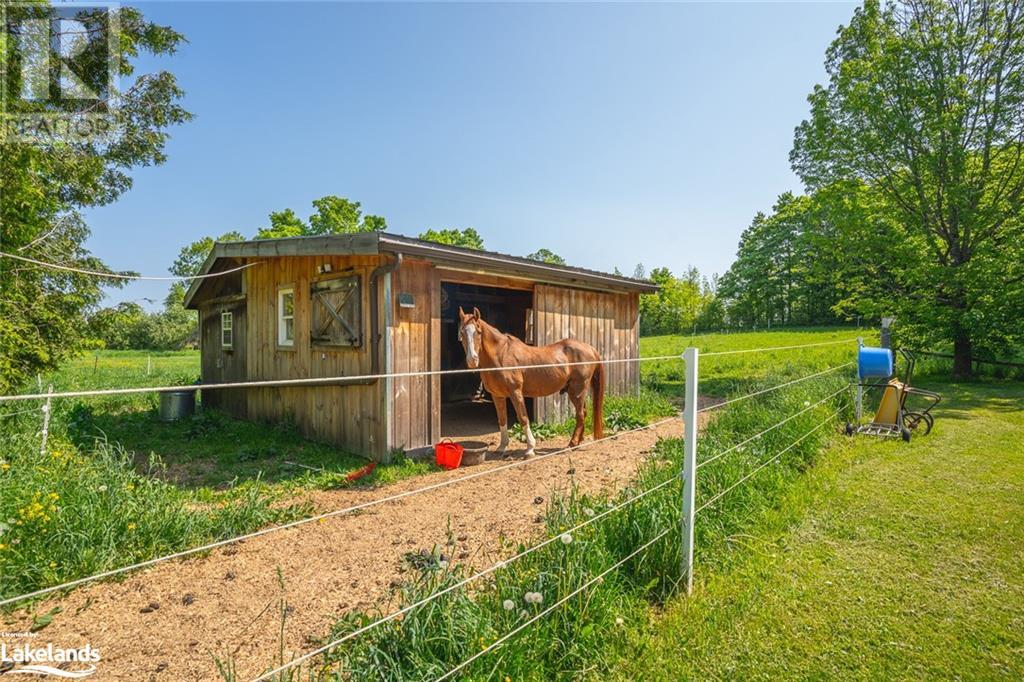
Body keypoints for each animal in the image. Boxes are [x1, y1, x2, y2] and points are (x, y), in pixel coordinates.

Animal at [456, 307, 598, 456]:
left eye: (478, 332)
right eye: (462, 332)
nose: (472, 360)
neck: (501, 355)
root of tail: (590, 348)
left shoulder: (516, 393)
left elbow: (523, 418)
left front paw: (530, 448)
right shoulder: (497, 395)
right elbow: (502, 419)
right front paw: (502, 446)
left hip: (576, 391)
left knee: (580, 415)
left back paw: (572, 444)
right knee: (583, 413)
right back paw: (579, 442)